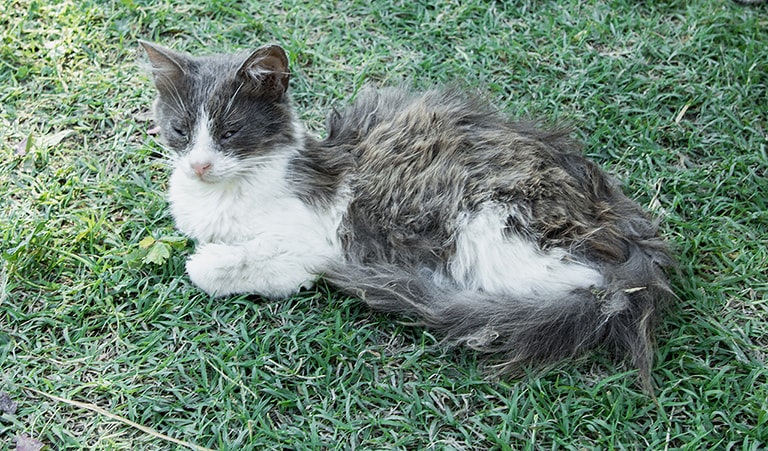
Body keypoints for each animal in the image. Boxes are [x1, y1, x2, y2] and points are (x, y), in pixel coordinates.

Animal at [141, 40, 676, 390]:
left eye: (230, 132)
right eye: (181, 130)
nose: (199, 164)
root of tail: (634, 252)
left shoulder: (311, 242)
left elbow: (221, 267)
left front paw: (209, 261)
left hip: (491, 223)